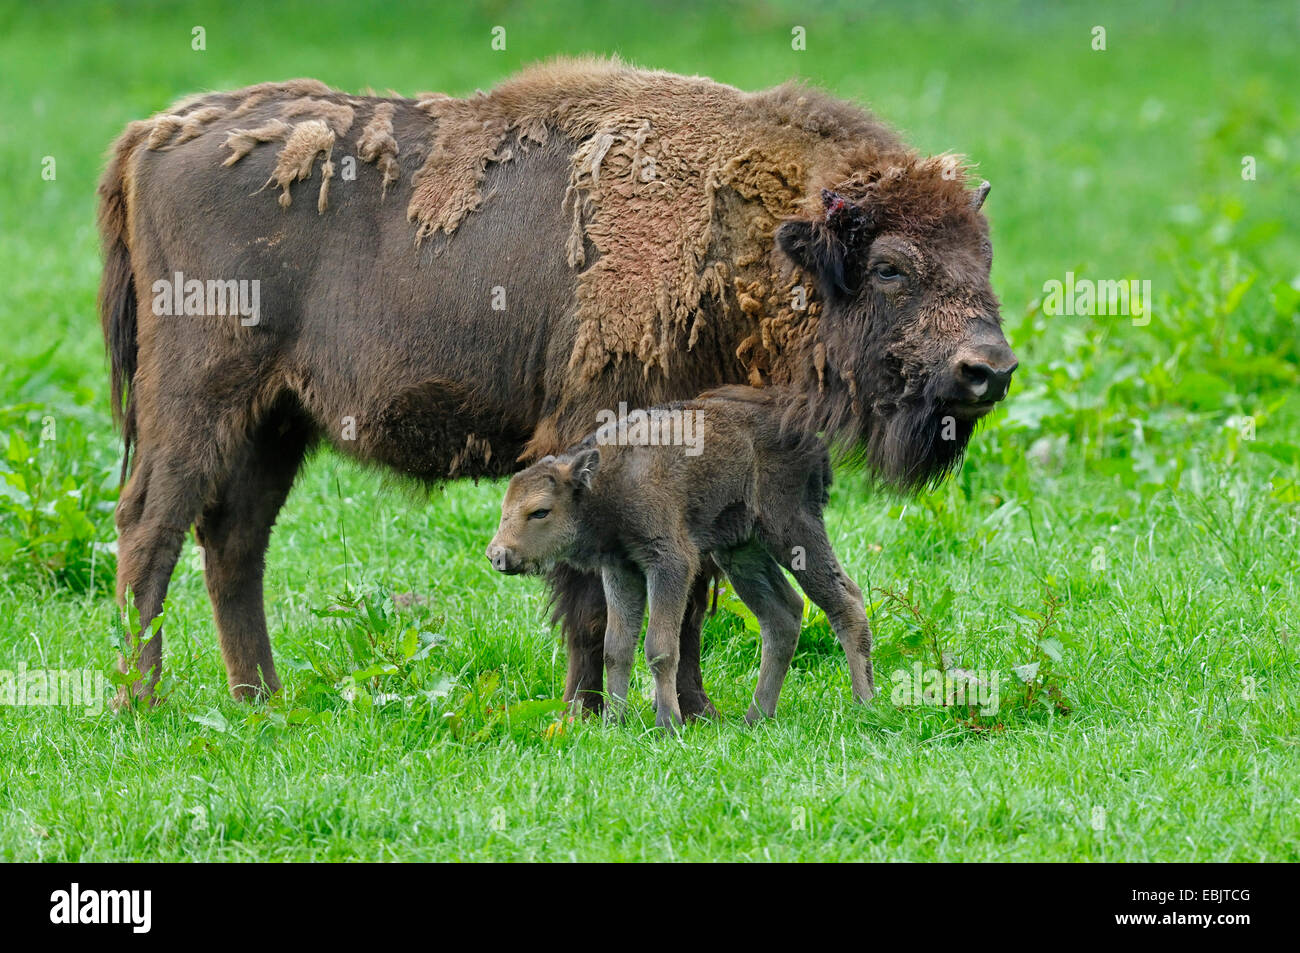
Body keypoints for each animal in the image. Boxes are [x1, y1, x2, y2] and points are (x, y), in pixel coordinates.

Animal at [488, 387, 873, 728]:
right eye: (505, 508)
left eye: (540, 511)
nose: (497, 555)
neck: (607, 478)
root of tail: (813, 442)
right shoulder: (621, 569)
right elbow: (616, 647)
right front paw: (613, 723)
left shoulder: (670, 563)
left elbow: (659, 647)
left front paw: (668, 724)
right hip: (741, 552)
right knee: (784, 614)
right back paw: (756, 717)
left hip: (792, 533)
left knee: (846, 601)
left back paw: (864, 705)